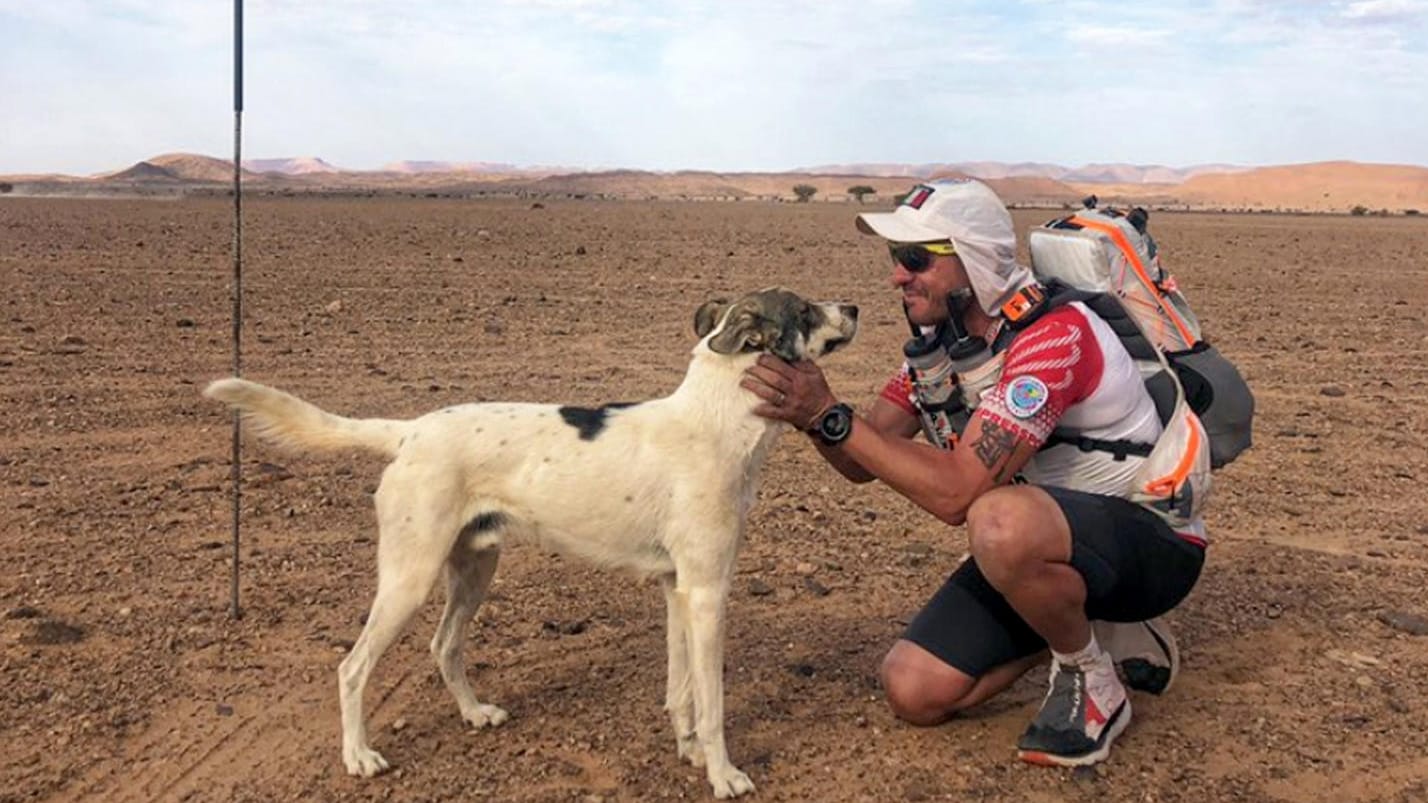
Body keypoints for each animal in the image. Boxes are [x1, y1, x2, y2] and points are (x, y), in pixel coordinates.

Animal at [202, 285, 856, 794]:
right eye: (803, 308)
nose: (852, 305)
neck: (716, 418)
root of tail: (409, 432)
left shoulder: (678, 590)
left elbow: (682, 692)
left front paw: (689, 751)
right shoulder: (707, 593)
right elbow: (713, 702)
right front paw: (723, 774)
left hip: (474, 568)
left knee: (444, 645)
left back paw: (474, 713)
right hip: (410, 577)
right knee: (353, 666)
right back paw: (359, 757)